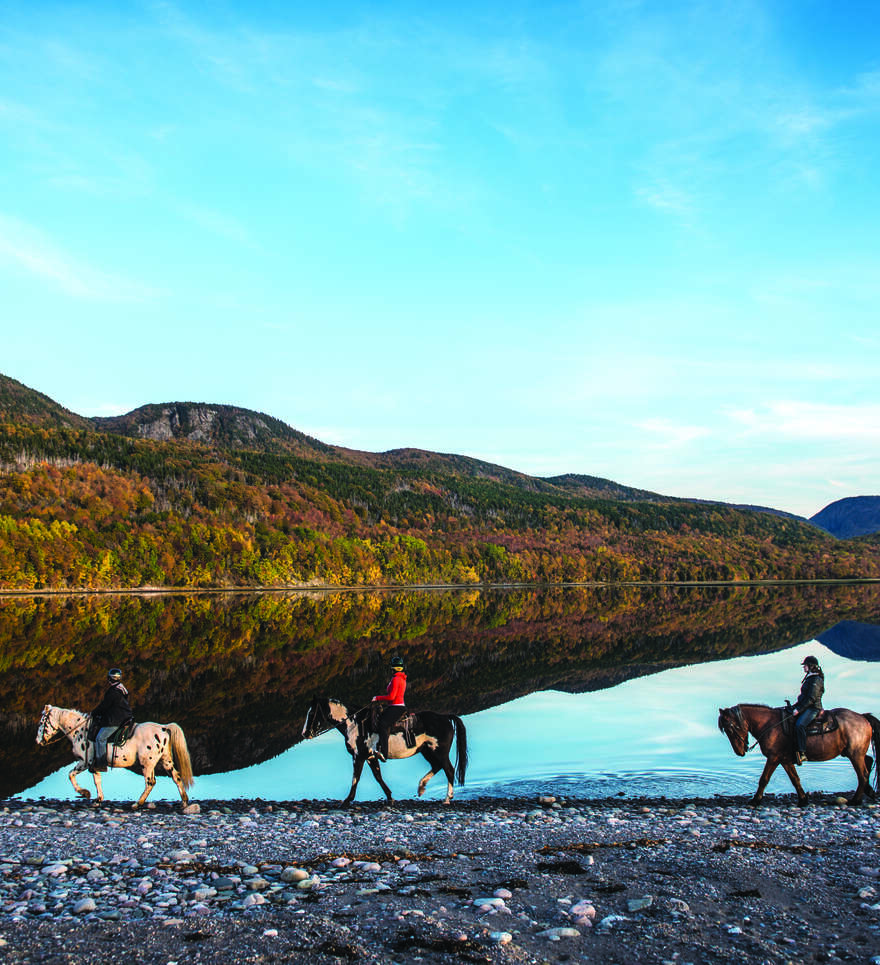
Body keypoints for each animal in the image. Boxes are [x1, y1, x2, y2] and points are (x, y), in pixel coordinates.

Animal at [36, 704, 194, 808]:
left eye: (42, 722)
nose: (38, 741)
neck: (81, 731)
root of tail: (163, 728)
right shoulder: (94, 765)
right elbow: (97, 781)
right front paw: (98, 799)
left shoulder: (85, 762)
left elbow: (70, 775)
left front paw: (85, 793)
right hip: (165, 760)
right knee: (176, 777)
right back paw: (184, 802)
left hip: (147, 764)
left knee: (150, 782)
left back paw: (137, 804)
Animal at [300, 692, 468, 804]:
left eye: (312, 712)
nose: (304, 733)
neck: (354, 723)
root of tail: (445, 717)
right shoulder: (370, 756)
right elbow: (378, 776)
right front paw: (390, 796)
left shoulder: (358, 756)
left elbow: (356, 777)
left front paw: (347, 800)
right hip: (427, 751)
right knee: (437, 766)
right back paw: (421, 787)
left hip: (439, 751)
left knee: (449, 770)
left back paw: (447, 799)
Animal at [716, 700, 880, 804]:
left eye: (731, 728)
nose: (739, 752)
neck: (770, 725)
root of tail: (863, 717)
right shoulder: (785, 759)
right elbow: (795, 779)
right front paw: (803, 800)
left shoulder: (774, 757)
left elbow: (764, 779)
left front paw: (755, 800)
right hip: (852, 753)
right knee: (869, 761)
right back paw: (869, 792)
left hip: (854, 754)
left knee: (863, 774)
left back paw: (855, 800)